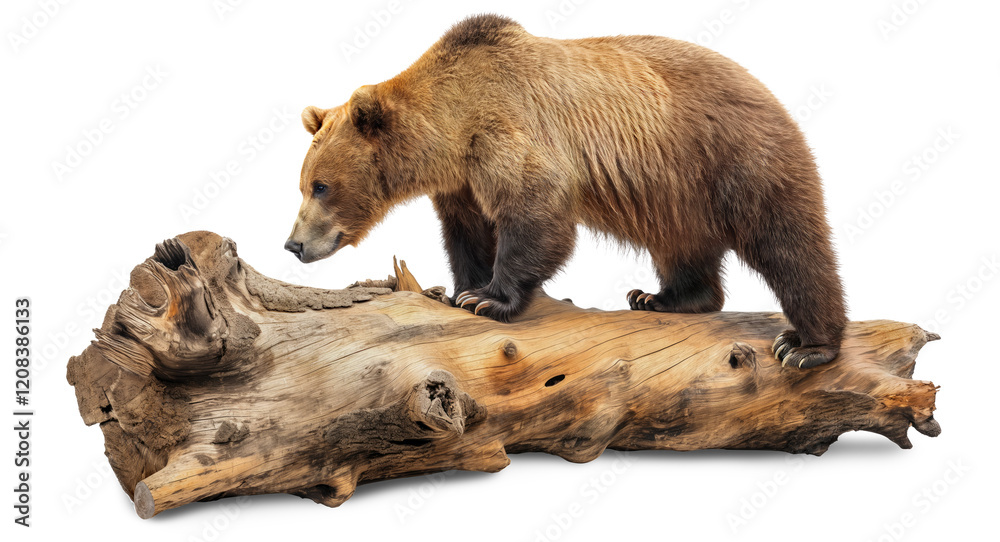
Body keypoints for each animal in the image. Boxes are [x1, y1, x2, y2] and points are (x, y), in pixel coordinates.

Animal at [284, 14, 847, 369]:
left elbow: (537, 211)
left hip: (733, 156)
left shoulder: (506, 130)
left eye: (321, 186)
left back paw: (806, 344)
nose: (293, 244)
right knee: (682, 247)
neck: (452, 129)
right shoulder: (461, 181)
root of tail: (765, 87)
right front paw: (455, 289)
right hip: (678, 196)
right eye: (303, 183)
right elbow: (467, 233)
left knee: (790, 245)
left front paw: (488, 299)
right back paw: (661, 297)